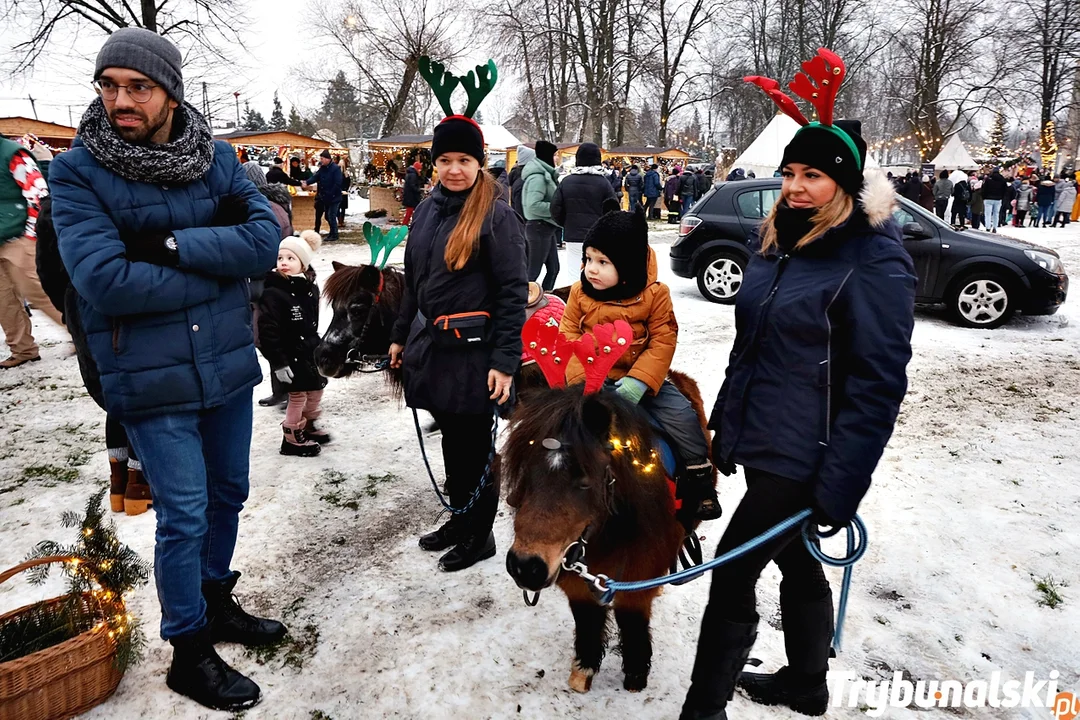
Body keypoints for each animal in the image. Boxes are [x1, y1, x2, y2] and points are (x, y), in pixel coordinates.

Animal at [501, 371, 712, 690]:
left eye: (585, 480)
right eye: (524, 469)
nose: (526, 567)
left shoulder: (639, 576)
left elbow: (631, 618)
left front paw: (636, 673)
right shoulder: (576, 578)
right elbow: (587, 618)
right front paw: (584, 669)